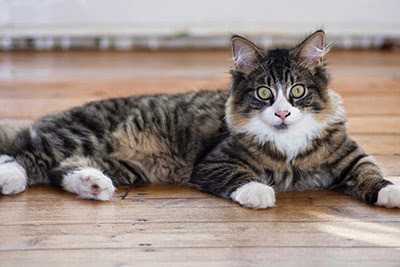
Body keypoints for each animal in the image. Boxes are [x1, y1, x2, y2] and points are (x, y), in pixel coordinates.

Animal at [0, 30, 400, 209]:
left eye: (297, 91)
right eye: (264, 93)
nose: (283, 112)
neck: (288, 144)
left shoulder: (350, 156)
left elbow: (370, 173)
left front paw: (391, 191)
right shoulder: (214, 162)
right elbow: (242, 178)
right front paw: (260, 192)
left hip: (121, 165)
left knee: (60, 169)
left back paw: (94, 186)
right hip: (82, 135)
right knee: (27, 152)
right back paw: (11, 178)